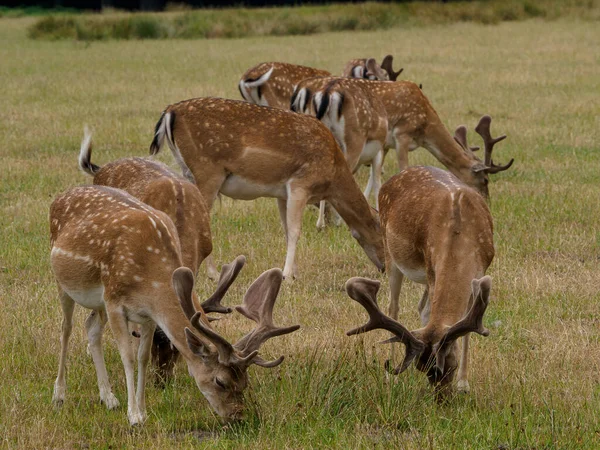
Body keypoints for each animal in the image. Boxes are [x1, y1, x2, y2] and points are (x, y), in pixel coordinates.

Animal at [49, 185, 300, 424]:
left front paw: (142, 412)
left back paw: (108, 398)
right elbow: (128, 357)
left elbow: (143, 357)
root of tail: (60, 196)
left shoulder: (148, 314)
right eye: (220, 381)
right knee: (66, 328)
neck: (149, 278)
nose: (238, 416)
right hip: (64, 283)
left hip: (97, 302)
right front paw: (133, 416)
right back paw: (59, 394)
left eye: (245, 382)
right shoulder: (114, 301)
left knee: (90, 326)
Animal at [149, 97, 384, 280]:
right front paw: (286, 275)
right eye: (383, 234)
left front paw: (293, 273)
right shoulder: (301, 183)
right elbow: (296, 230)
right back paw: (213, 274)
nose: (384, 268)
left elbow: (287, 229)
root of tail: (170, 112)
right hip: (208, 170)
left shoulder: (282, 193)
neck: (333, 176)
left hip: (188, 172)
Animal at [342, 115, 506, 394]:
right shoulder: (431, 266)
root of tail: (399, 174)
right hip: (391, 255)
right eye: (423, 368)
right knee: (393, 306)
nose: (441, 397)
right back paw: (390, 377)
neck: (460, 233)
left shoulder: (481, 268)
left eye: (449, 365)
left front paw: (464, 383)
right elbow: (430, 312)